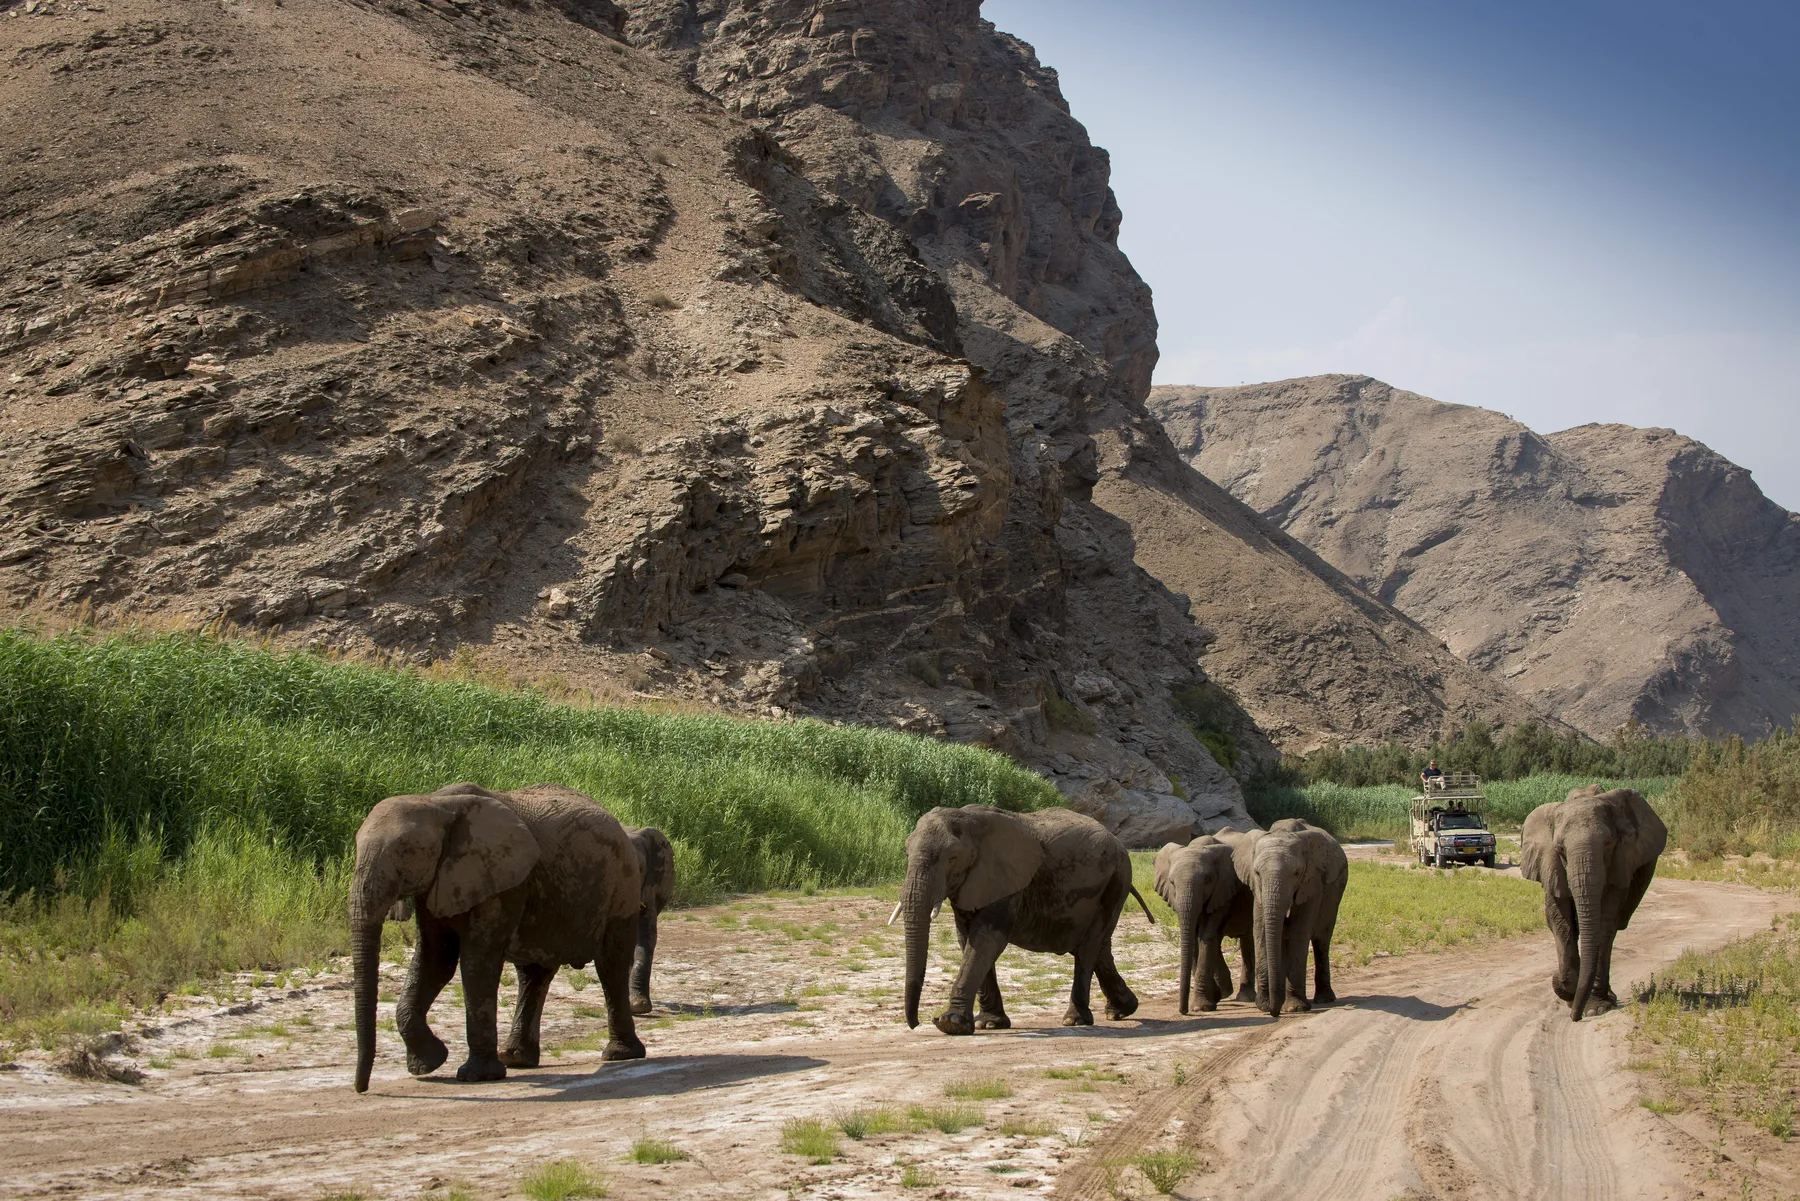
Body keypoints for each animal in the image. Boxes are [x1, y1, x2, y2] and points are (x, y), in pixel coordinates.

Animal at [349, 782, 644, 1093]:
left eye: (407, 851)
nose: (362, 1088)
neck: (435, 803)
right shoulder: (438, 882)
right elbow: (435, 960)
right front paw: (428, 1064)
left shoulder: (501, 879)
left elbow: (476, 961)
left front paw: (475, 1076)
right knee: (533, 974)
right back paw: (516, 1058)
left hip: (622, 884)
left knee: (610, 965)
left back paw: (620, 1054)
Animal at [899, 804, 1153, 1035]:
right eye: (906, 853)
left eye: (953, 857)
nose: (916, 1024)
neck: (968, 818)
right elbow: (966, 938)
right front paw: (989, 1024)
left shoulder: (1007, 879)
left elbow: (986, 939)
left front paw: (951, 1024)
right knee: (1098, 946)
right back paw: (1121, 1011)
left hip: (1116, 880)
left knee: (1088, 947)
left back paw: (1076, 1020)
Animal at [1154, 829, 1257, 1013]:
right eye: (1171, 882)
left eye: (1207, 880)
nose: (1183, 1011)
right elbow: (1195, 936)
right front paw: (1216, 995)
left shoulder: (1222, 890)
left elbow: (1206, 935)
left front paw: (1201, 1007)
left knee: (1247, 940)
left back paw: (1245, 997)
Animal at [1245, 818, 1347, 1018]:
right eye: (1257, 873)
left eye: (1296, 873)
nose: (1274, 1012)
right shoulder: (1257, 890)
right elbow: (1260, 931)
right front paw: (1264, 1006)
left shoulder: (1312, 883)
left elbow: (1298, 932)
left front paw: (1295, 1008)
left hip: (1335, 893)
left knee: (1322, 940)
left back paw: (1324, 999)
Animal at [1520, 785, 1666, 1021]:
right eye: (1560, 850)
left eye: (1608, 844)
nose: (1575, 1017)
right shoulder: (1550, 865)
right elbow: (1560, 921)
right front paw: (1569, 990)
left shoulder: (1621, 862)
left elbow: (1605, 922)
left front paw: (1593, 1008)